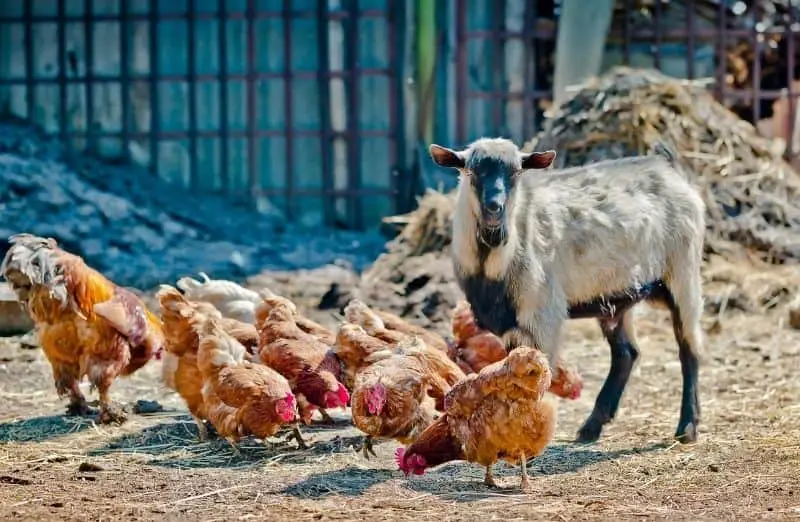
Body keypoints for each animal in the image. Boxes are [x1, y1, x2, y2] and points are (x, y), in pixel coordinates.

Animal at [429, 137, 705, 444]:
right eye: (471, 171)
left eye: (516, 172)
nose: (494, 207)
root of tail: (664, 165)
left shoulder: (542, 313)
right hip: (616, 298)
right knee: (626, 353)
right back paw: (591, 427)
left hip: (683, 272)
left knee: (689, 348)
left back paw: (687, 427)